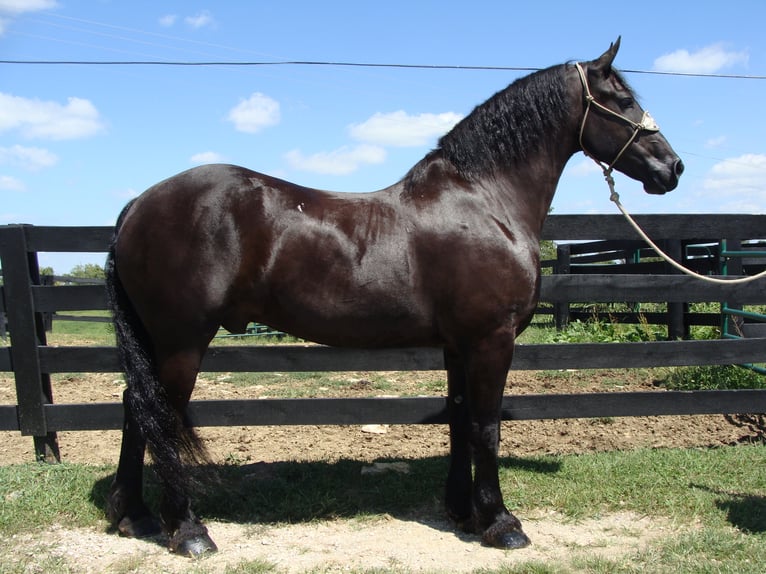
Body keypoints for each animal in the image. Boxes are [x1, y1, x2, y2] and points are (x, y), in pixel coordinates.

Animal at [103, 39, 684, 560]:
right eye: (622, 100)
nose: (673, 168)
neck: (485, 200)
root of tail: (136, 207)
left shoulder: (458, 345)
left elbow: (458, 421)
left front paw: (464, 513)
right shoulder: (490, 341)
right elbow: (487, 426)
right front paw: (502, 523)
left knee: (135, 406)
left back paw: (135, 515)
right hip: (182, 340)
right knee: (161, 416)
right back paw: (188, 531)